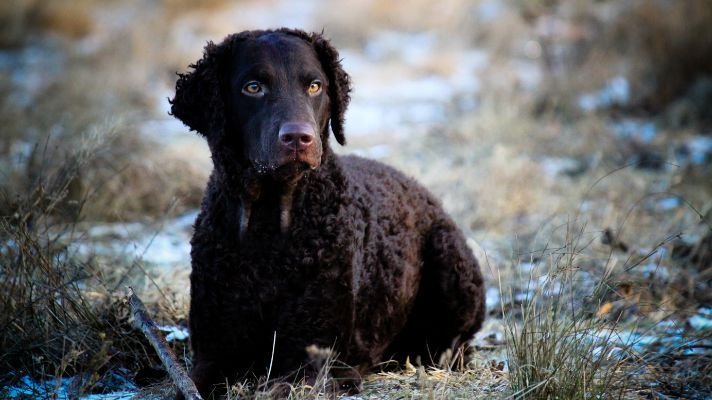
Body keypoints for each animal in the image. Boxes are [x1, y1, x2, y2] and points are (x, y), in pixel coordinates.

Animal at [170, 28, 486, 396]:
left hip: (451, 264)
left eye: (314, 86)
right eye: (253, 87)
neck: (269, 229)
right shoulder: (213, 352)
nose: (298, 137)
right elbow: (184, 384)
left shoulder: (316, 361)